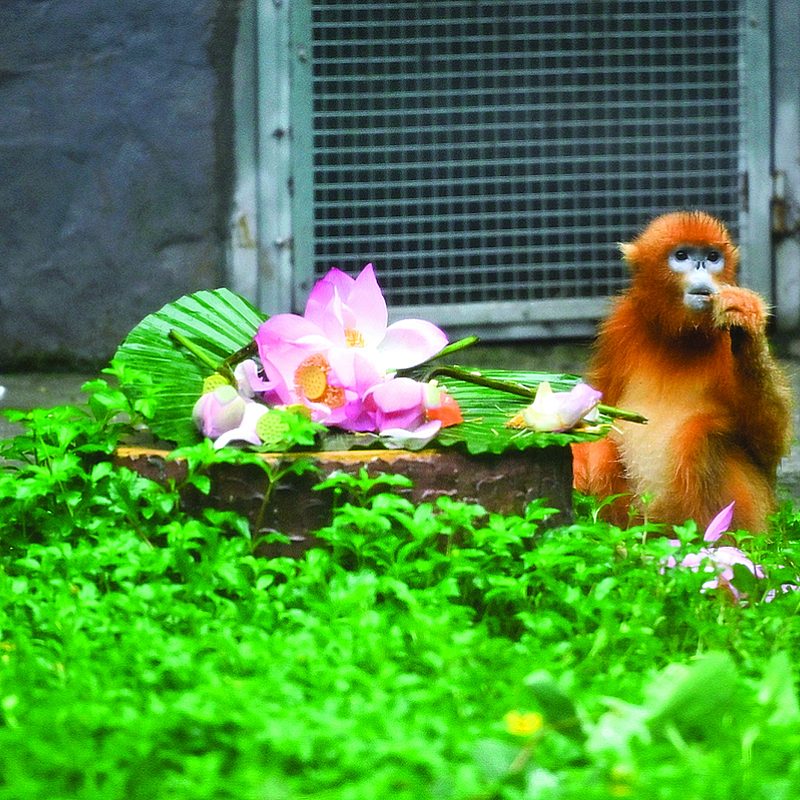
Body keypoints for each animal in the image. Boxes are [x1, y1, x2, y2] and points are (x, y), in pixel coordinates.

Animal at [572, 210, 793, 533]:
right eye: (682, 255)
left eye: (712, 257)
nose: (701, 266)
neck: (680, 339)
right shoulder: (620, 326)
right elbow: (600, 414)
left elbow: (768, 446)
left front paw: (747, 321)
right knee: (604, 451)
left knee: (698, 435)